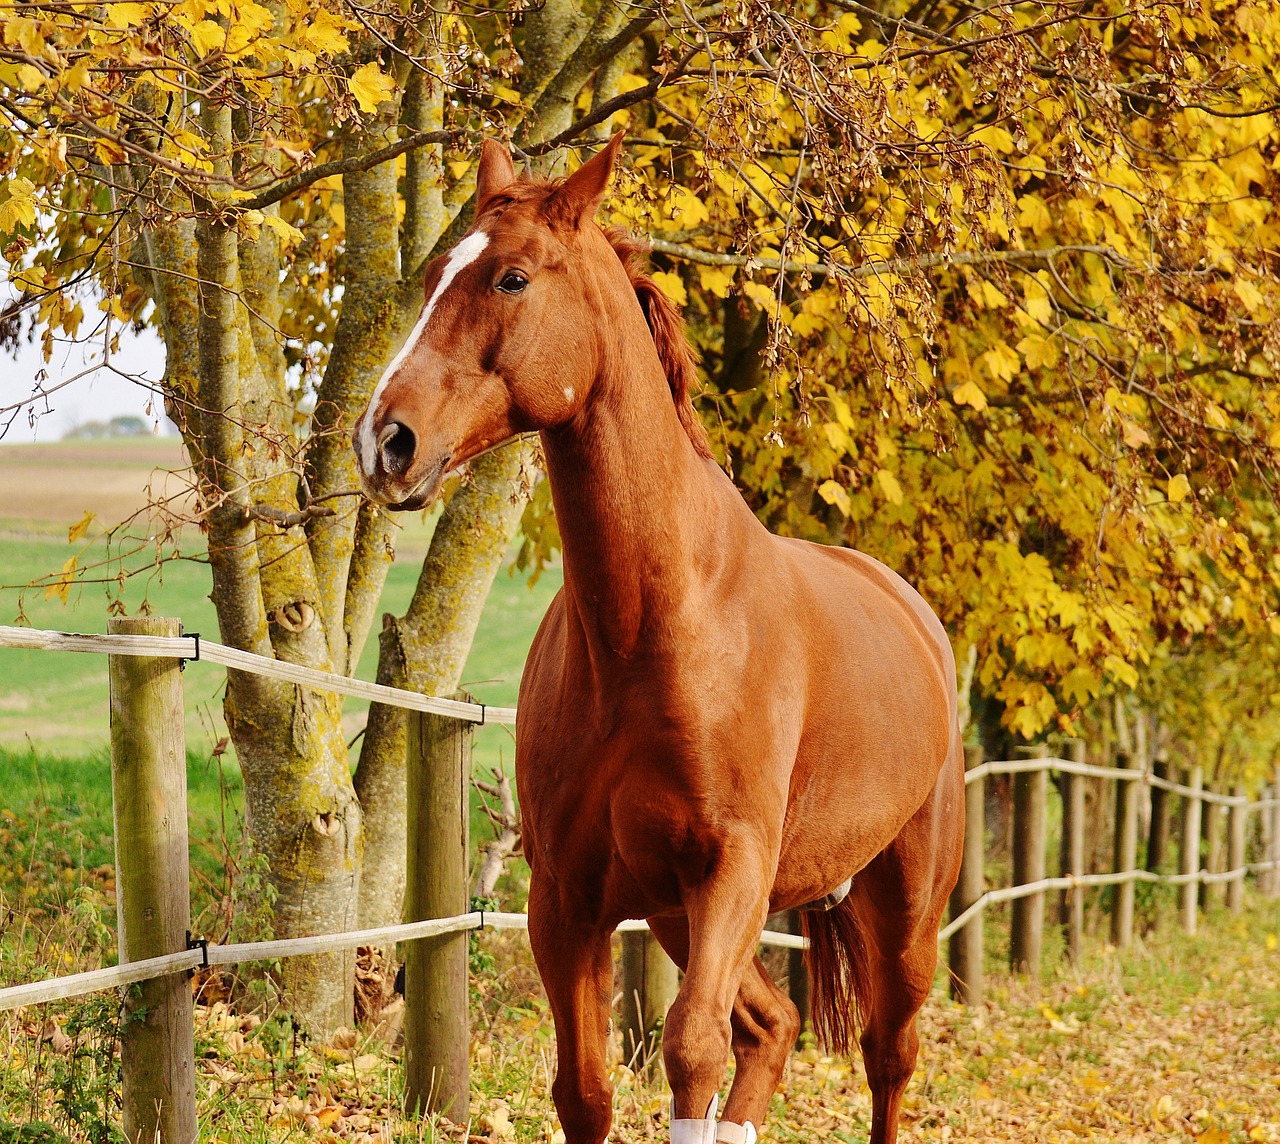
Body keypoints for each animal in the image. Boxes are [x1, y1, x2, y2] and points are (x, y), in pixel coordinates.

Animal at [350, 136, 962, 1144]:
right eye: (434, 275)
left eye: (512, 277)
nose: (383, 443)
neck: (657, 631)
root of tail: (914, 614)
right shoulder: (568, 902)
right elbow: (587, 1089)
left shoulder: (730, 875)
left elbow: (690, 1053)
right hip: (680, 916)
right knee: (773, 1027)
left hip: (903, 909)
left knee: (886, 1056)